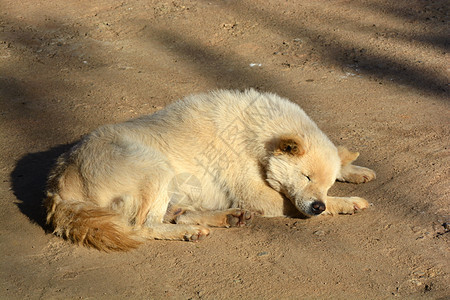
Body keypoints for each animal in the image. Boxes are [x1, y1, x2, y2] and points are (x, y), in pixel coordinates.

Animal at [44, 89, 376, 251]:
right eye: (306, 177)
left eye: (327, 183)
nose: (317, 205)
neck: (256, 134)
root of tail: (59, 183)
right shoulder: (260, 196)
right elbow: (303, 203)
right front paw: (347, 203)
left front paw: (355, 170)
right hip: (157, 169)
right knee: (143, 226)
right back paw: (191, 231)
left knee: (176, 214)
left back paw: (225, 217)